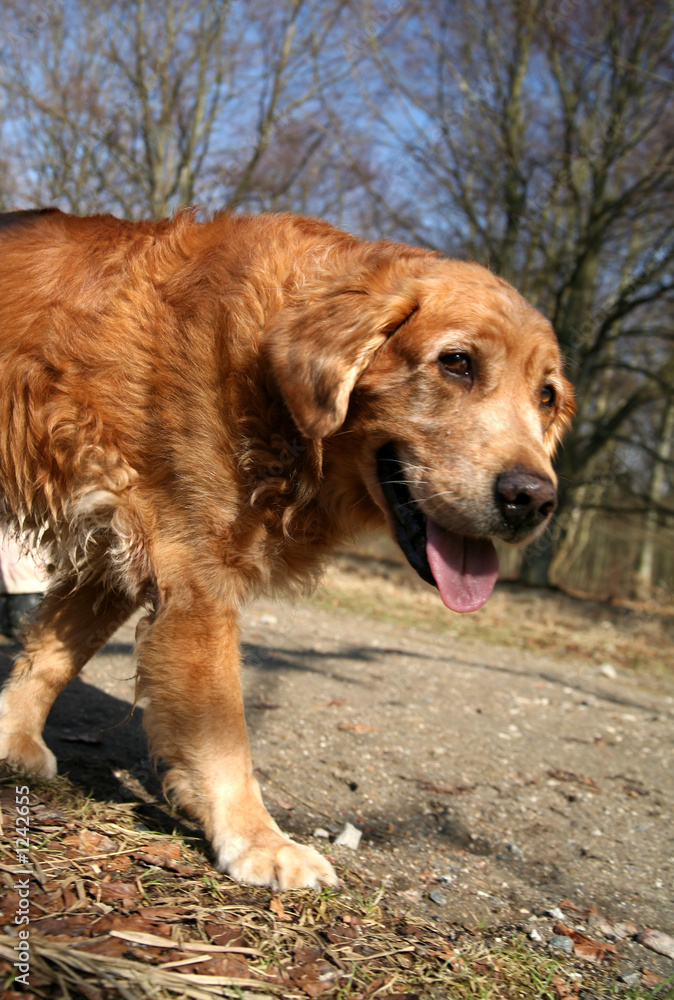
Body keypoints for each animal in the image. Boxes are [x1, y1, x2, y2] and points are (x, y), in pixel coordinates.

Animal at [0, 205, 572, 892]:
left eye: (547, 395)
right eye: (457, 363)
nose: (533, 500)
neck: (268, 381)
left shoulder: (118, 548)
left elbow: (55, 654)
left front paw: (12, 740)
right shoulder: (196, 578)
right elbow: (224, 734)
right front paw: (258, 839)